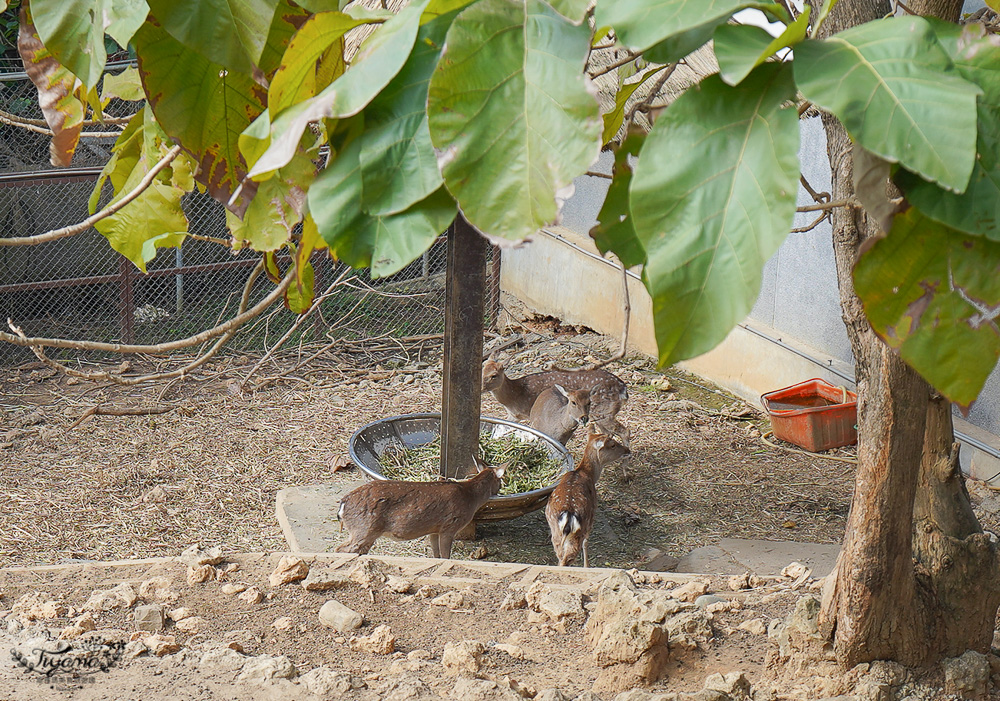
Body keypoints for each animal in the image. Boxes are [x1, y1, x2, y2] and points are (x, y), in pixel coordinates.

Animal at [338, 456, 508, 560]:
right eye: (501, 481)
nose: (500, 489)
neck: (470, 497)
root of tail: (343, 504)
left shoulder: (433, 529)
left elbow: (436, 555)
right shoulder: (449, 526)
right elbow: (446, 556)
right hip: (364, 528)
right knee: (342, 549)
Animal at [482, 358, 628, 434]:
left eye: (494, 375)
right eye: (482, 370)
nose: (481, 387)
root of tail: (623, 389)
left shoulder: (530, 413)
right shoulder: (514, 416)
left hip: (603, 411)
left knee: (623, 431)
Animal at [544, 424, 628, 568]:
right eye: (612, 445)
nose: (627, 449)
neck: (588, 474)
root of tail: (568, 516)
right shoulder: (591, 518)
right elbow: (586, 543)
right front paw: (587, 566)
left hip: (555, 529)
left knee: (560, 555)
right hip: (579, 529)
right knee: (568, 556)